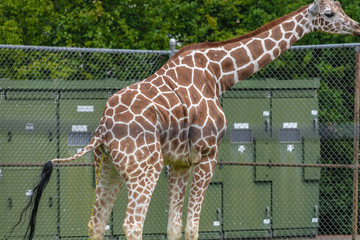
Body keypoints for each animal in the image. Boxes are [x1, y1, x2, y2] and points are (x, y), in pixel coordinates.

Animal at [19, 0, 360, 240]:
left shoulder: (179, 162)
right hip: (144, 168)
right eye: (329, 14)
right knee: (131, 224)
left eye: (341, 8)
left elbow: (173, 227)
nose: (356, 26)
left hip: (108, 167)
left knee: (96, 222)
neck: (219, 75)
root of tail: (102, 128)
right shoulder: (208, 154)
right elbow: (192, 227)